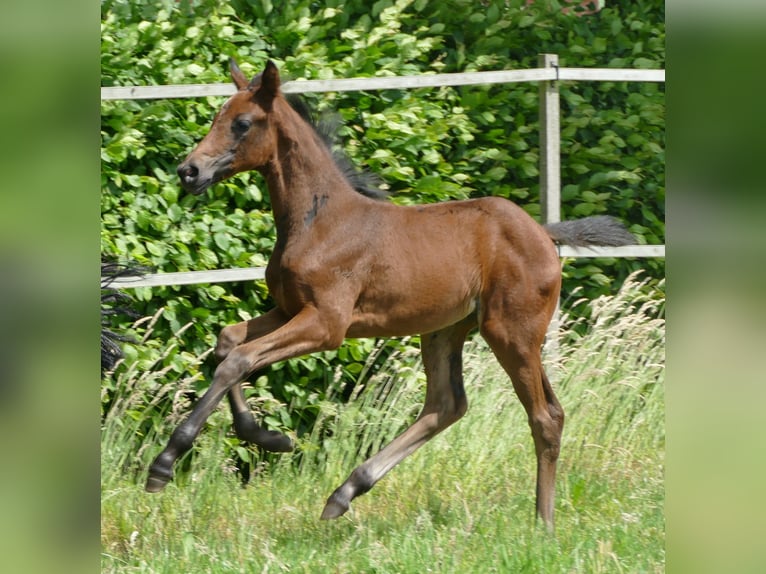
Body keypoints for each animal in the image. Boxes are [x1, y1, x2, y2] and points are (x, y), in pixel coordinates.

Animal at [146, 59, 636, 532]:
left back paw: (543, 525)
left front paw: (165, 462)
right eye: (217, 117)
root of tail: (545, 235)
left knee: (545, 416)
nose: (189, 171)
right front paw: (270, 437)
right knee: (446, 405)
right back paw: (344, 493)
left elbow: (239, 360)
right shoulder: (290, 309)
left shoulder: (327, 324)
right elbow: (229, 341)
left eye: (242, 123)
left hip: (510, 331)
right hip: (444, 330)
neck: (319, 220)